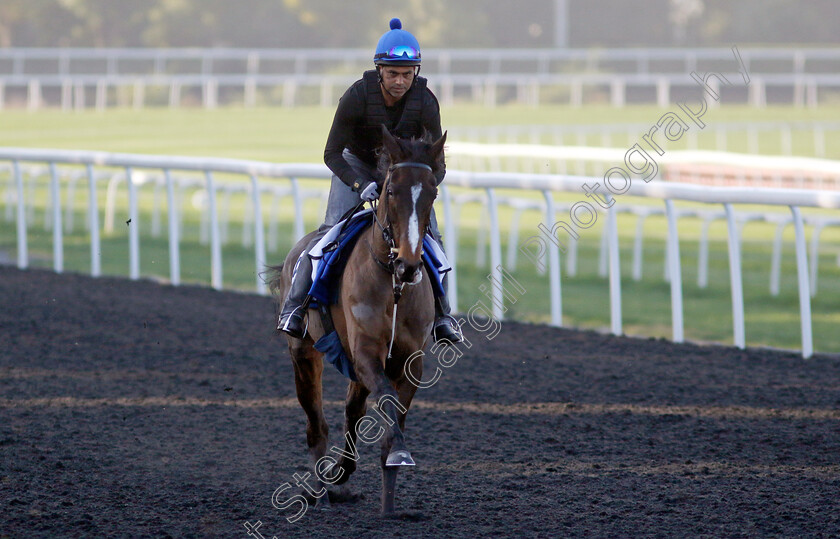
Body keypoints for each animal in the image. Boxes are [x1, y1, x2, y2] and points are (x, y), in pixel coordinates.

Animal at [272, 129, 450, 516]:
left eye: (432, 191)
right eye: (390, 190)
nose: (409, 264)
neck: (393, 286)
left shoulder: (409, 359)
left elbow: (391, 414)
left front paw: (389, 495)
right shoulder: (367, 350)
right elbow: (385, 400)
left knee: (352, 410)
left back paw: (340, 474)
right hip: (303, 353)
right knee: (316, 425)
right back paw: (321, 491)